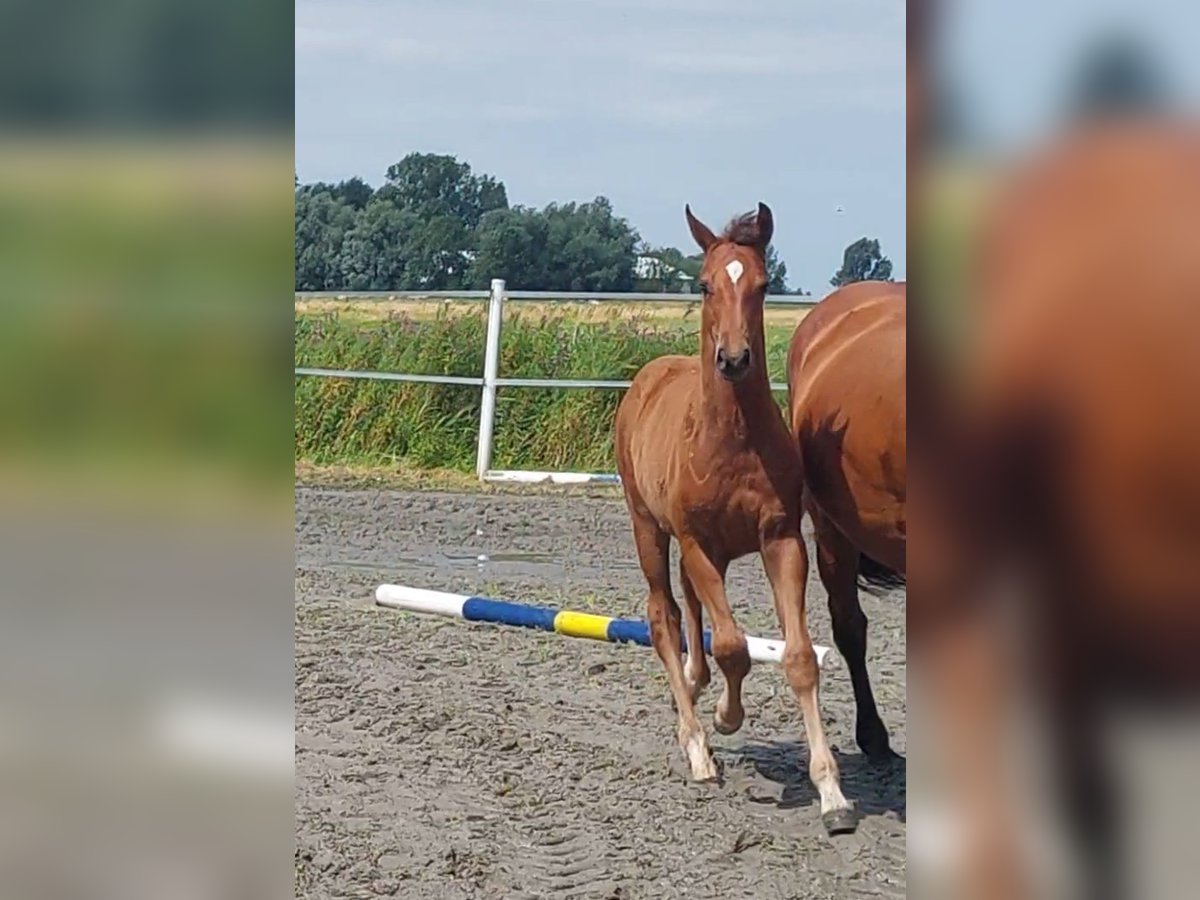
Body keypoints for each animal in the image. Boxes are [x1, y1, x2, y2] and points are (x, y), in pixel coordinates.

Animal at [614, 204, 859, 840]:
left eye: (763, 285)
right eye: (703, 284)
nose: (733, 359)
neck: (732, 439)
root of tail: (649, 375)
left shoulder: (781, 540)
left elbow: (798, 657)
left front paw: (833, 794)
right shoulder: (697, 542)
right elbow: (732, 646)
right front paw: (726, 719)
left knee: (689, 613)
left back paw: (695, 689)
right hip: (649, 528)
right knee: (664, 616)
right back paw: (698, 745)